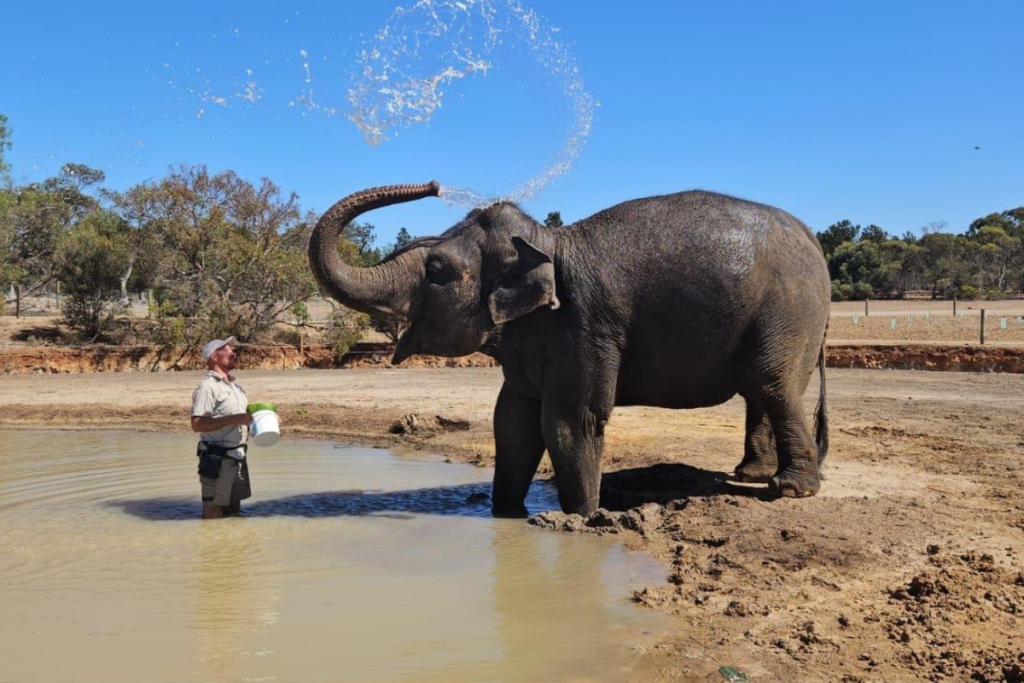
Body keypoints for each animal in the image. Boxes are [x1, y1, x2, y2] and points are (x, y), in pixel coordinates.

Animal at [308, 182, 831, 516]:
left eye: (436, 270)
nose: (435, 184)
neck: (547, 243)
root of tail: (812, 237)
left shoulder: (583, 322)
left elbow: (569, 421)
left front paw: (582, 519)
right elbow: (512, 422)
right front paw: (505, 514)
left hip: (790, 313)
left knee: (772, 384)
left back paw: (790, 490)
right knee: (759, 391)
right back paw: (751, 473)